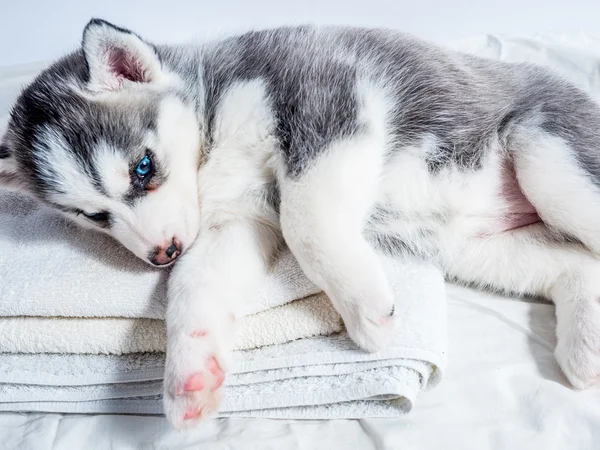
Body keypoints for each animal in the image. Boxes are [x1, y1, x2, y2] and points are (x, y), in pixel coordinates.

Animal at [1, 18, 600, 428]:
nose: (161, 253)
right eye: (93, 215)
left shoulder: (331, 101)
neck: (212, 128)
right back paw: (584, 348)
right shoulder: (237, 221)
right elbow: (195, 288)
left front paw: (366, 309)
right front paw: (190, 376)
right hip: (474, 248)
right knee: (576, 266)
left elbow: (304, 220)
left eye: (142, 168)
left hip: (548, 161)